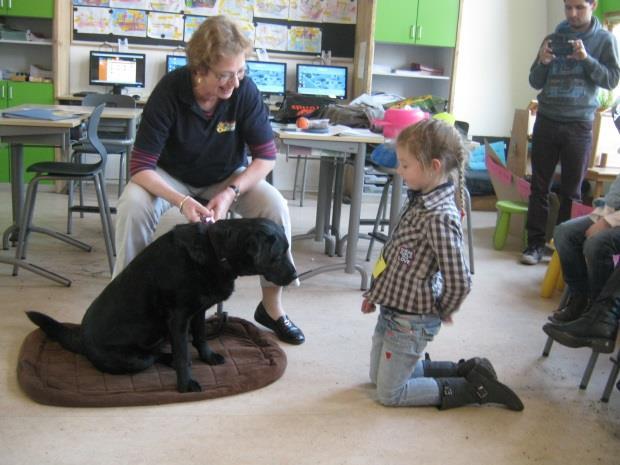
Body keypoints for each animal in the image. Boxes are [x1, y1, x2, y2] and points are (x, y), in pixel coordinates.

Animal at [24, 218, 296, 392]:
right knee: (152, 357)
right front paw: (185, 384)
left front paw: (207, 357)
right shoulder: (179, 318)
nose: (294, 276)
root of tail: (81, 339)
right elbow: (185, 352)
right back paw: (170, 360)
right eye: (279, 254)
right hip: (134, 358)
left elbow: (200, 338)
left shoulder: (198, 310)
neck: (216, 250)